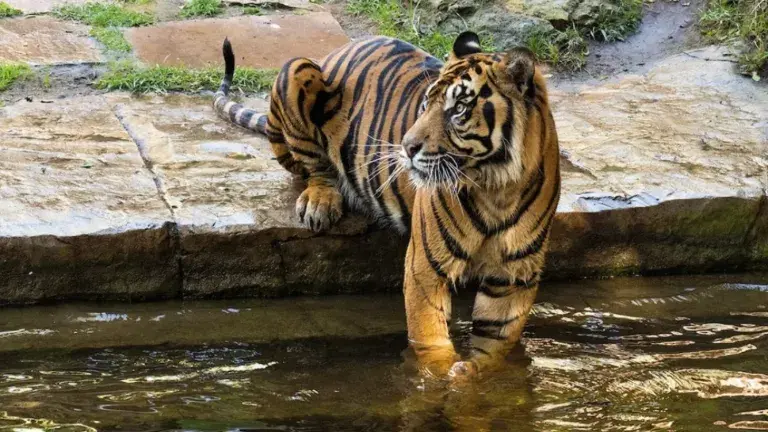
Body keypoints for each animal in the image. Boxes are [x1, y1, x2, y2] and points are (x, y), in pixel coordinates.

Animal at [213, 31, 561, 379]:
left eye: (459, 109)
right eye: (425, 105)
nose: (407, 147)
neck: (498, 187)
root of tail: (337, 52)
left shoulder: (512, 278)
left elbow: (495, 346)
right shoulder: (425, 268)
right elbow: (429, 341)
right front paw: (441, 378)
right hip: (295, 69)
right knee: (314, 168)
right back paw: (320, 203)